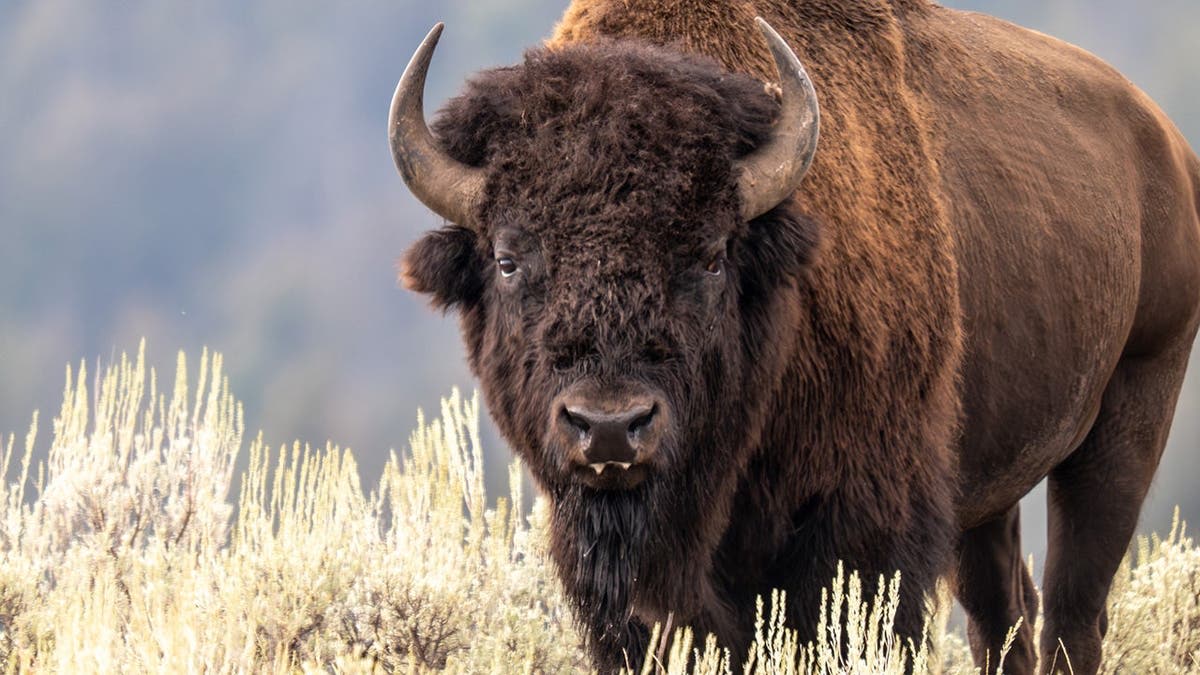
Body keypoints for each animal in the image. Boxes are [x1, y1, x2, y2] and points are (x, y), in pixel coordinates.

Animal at [388, 1, 1200, 673]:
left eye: (712, 255)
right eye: (507, 258)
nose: (611, 427)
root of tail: (1165, 144)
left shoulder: (865, 530)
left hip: (1130, 412)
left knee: (1074, 613)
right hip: (988, 491)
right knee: (1004, 618)